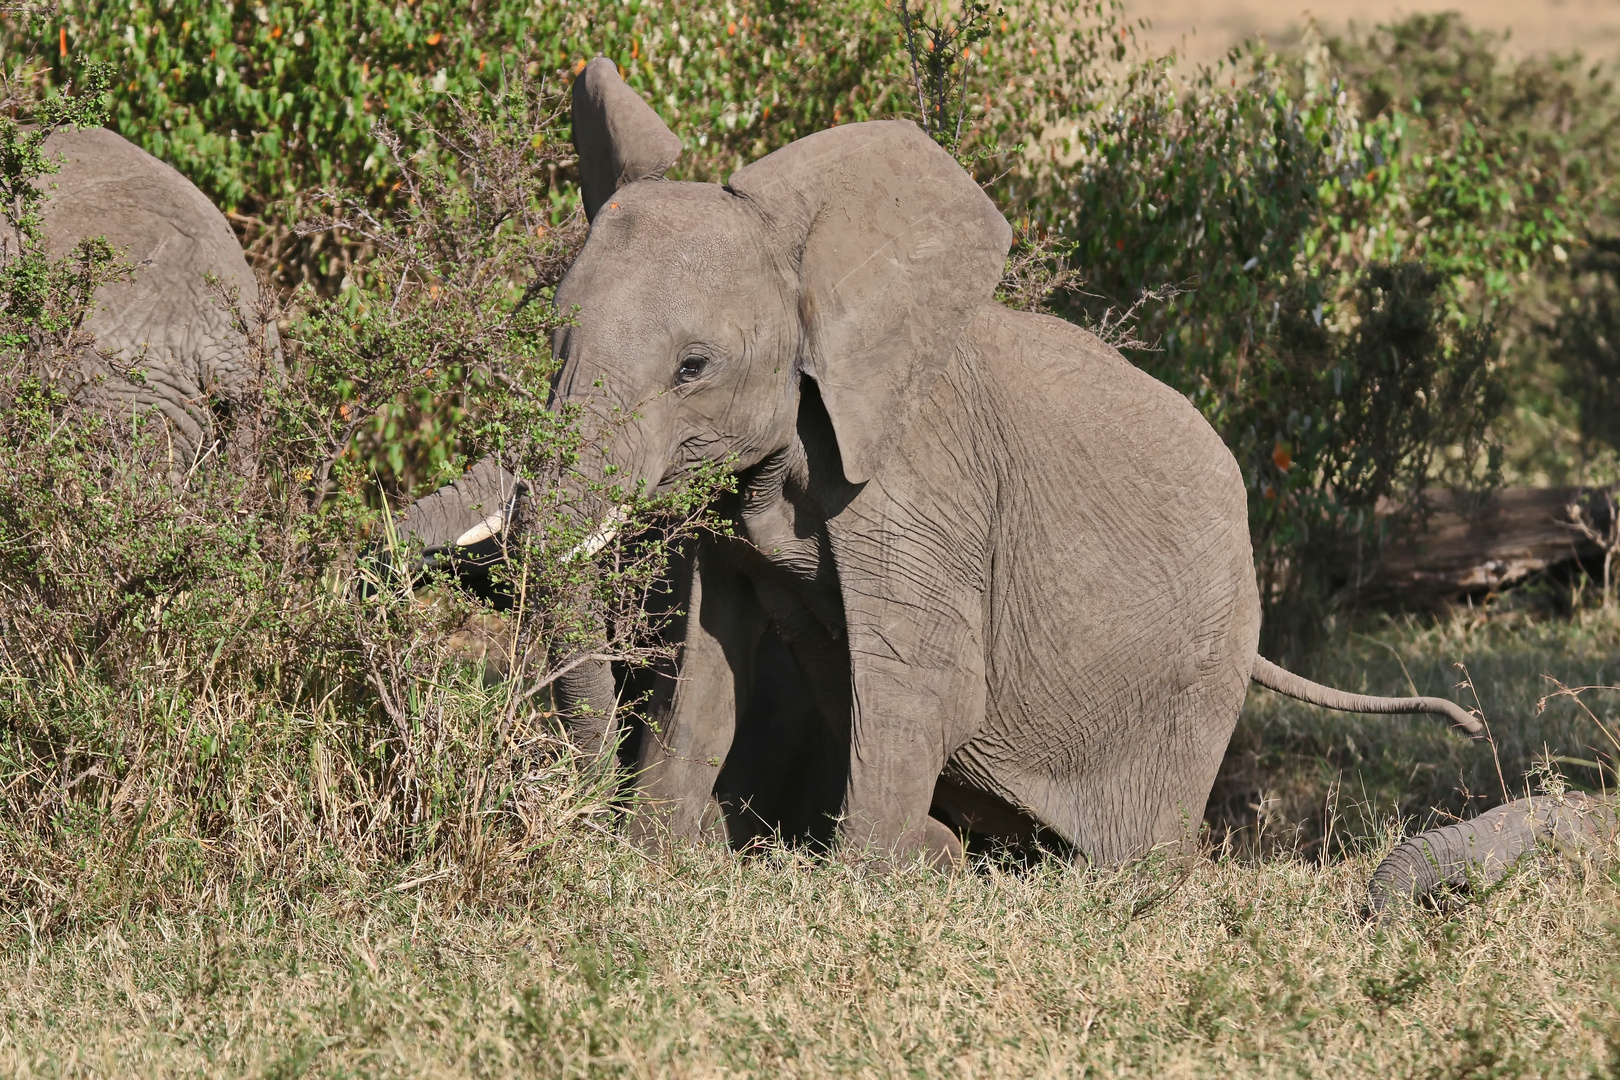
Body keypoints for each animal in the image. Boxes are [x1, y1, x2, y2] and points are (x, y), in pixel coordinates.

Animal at [401, 61, 1483, 867]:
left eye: (693, 367)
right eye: (551, 339)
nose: (574, 807)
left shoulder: (917, 484)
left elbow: (928, 683)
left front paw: (852, 887)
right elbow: (707, 661)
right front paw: (656, 860)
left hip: (1198, 673)